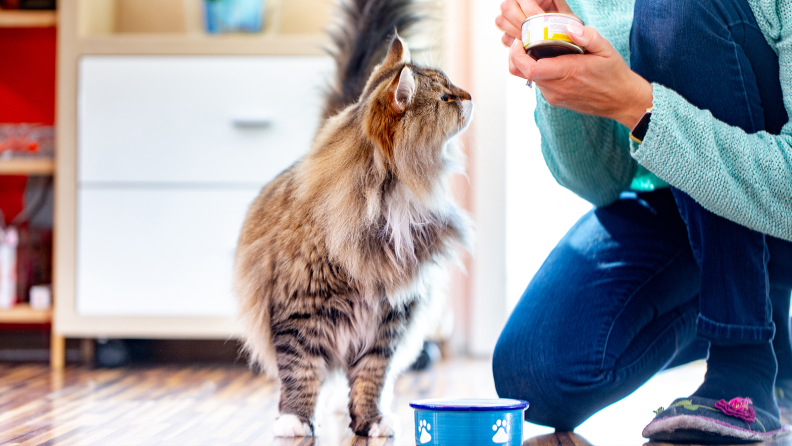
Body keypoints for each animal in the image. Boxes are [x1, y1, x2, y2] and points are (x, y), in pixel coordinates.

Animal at [232, 0, 474, 438]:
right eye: (446, 96)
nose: (469, 95)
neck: (387, 203)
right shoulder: (299, 313)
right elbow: (300, 372)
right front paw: (295, 420)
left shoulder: (388, 320)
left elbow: (371, 377)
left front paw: (371, 421)